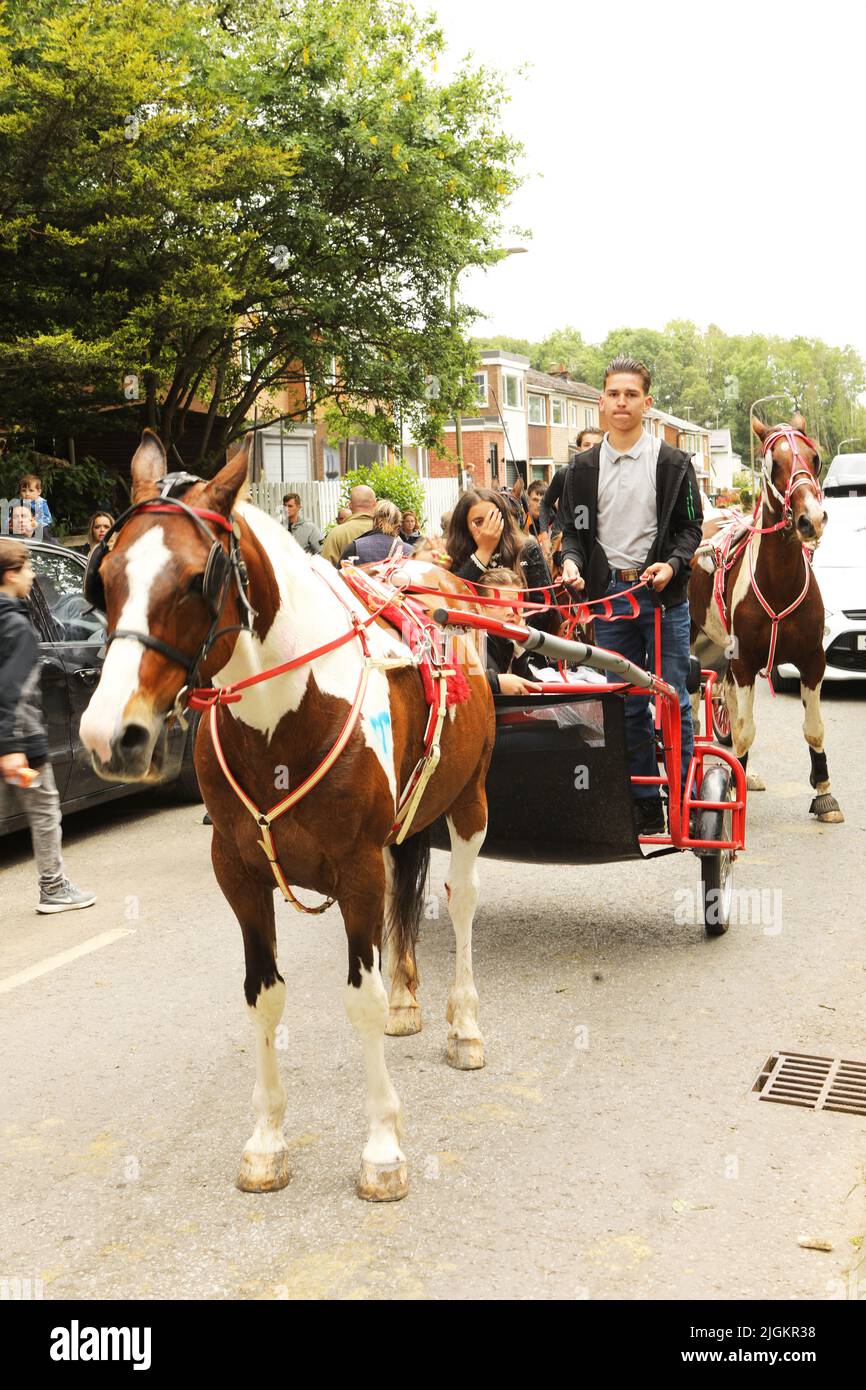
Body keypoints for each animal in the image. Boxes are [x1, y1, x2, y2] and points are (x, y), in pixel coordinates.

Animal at [77, 428, 497, 1200]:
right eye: (107, 577)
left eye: (196, 580)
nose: (108, 735)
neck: (286, 716)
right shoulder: (238, 873)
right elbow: (262, 996)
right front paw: (268, 1138)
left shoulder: (357, 868)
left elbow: (358, 999)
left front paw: (382, 1147)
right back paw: (409, 1000)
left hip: (469, 798)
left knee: (460, 903)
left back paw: (464, 1026)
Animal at [692, 411, 845, 822]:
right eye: (771, 462)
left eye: (815, 457)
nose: (812, 519)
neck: (778, 581)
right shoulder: (745, 661)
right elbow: (746, 730)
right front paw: (730, 789)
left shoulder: (812, 660)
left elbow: (815, 729)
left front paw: (824, 793)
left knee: (723, 697)